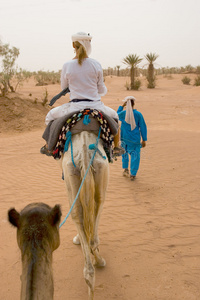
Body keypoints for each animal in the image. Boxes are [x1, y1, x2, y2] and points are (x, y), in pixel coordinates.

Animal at [60, 131, 108, 300]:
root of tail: (84, 148)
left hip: (72, 172)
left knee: (77, 213)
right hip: (100, 168)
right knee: (98, 202)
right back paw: (97, 265)